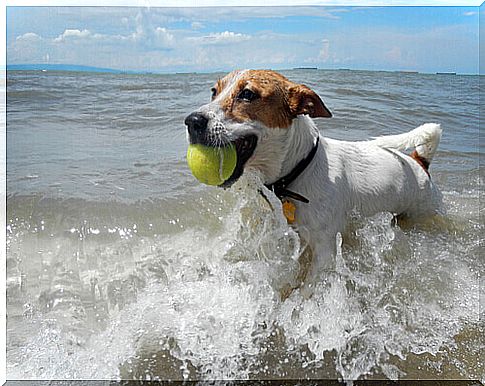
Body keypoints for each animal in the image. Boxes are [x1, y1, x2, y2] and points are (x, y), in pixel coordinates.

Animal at [183, 70, 440, 290]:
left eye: (247, 94)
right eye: (214, 91)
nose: (192, 121)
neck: (299, 169)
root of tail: (420, 163)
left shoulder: (324, 252)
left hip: (422, 214)